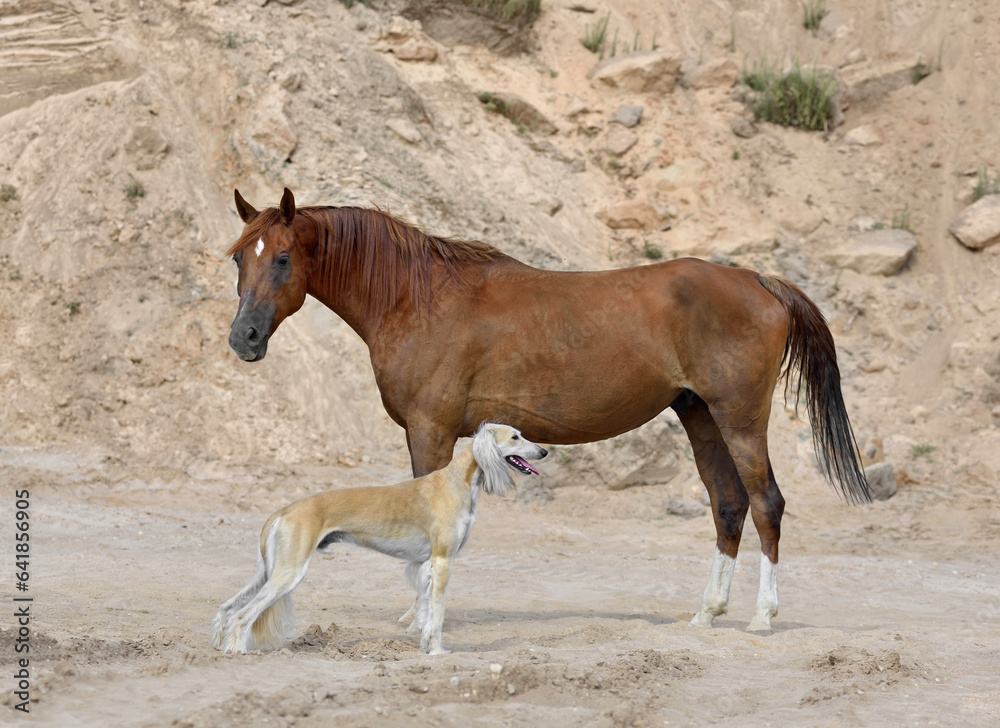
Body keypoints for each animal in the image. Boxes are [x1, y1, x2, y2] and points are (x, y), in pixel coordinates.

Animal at [225, 187, 871, 633]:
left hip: (739, 419)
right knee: (729, 505)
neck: (417, 297)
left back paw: (762, 616)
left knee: (766, 503)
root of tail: (759, 281)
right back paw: (706, 613)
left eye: (282, 258)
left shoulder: (430, 430)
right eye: (239, 259)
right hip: (701, 417)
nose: (244, 338)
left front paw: (417, 616)